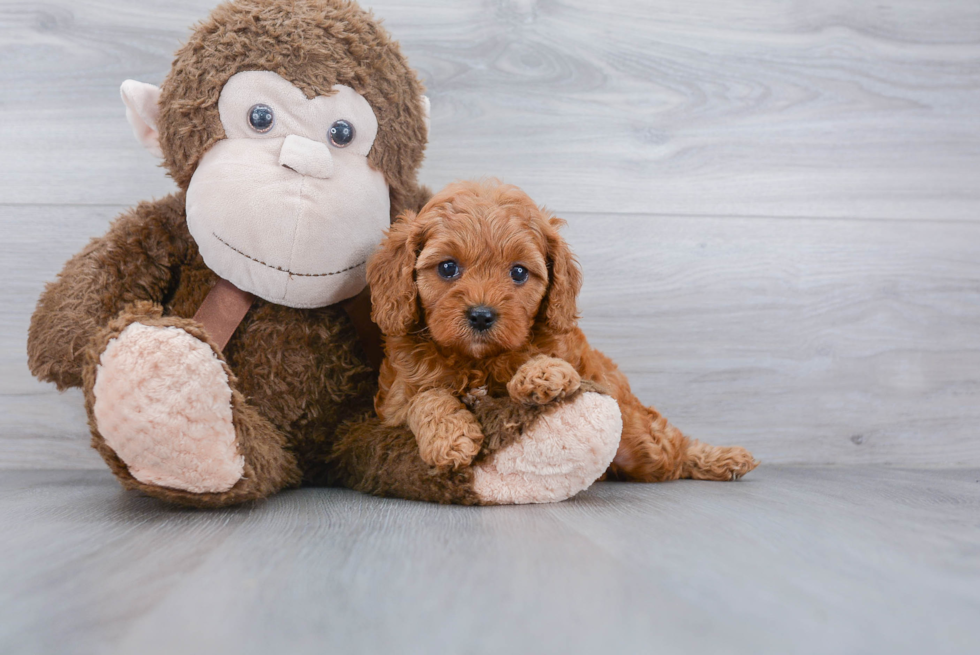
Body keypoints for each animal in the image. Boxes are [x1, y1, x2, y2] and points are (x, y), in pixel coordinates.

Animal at [368, 179, 756, 482]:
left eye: (519, 273)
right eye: (447, 268)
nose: (481, 316)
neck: (478, 361)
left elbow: (549, 359)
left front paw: (541, 374)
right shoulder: (394, 404)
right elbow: (427, 397)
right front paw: (450, 438)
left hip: (640, 440)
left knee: (671, 449)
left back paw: (721, 458)